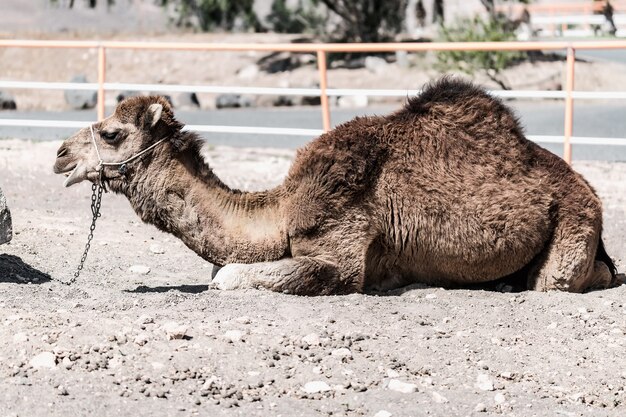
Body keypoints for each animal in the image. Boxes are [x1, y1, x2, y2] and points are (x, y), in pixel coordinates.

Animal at [52, 77, 616, 292]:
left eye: (111, 132)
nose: (60, 156)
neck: (280, 210)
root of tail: (585, 189)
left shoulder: (340, 246)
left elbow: (226, 276)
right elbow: (222, 268)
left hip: (574, 222)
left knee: (567, 279)